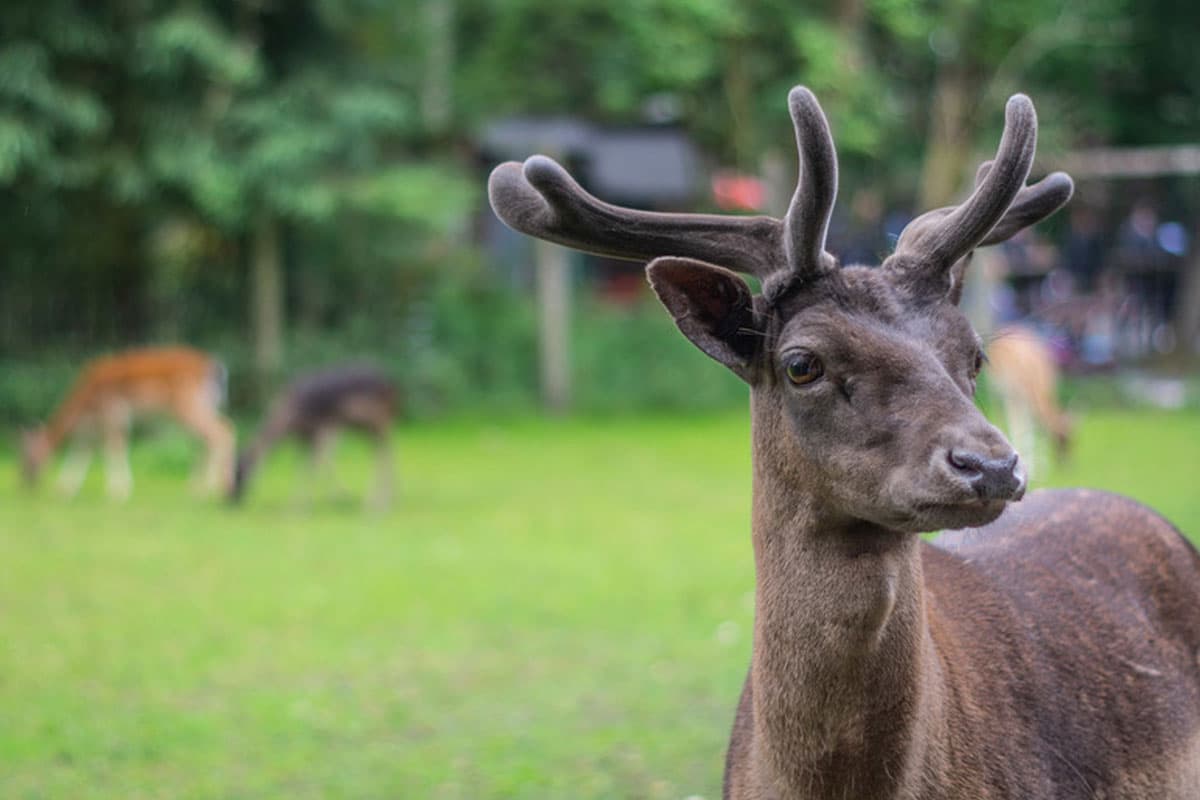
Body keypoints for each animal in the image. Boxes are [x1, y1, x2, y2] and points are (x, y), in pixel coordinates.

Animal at [21, 345, 234, 501]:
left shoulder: (113, 411)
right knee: (206, 439)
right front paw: (65, 490)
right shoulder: (92, 427)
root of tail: (215, 368)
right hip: (205, 405)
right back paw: (201, 488)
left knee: (220, 432)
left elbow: (114, 448)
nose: (26, 484)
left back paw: (211, 489)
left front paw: (118, 492)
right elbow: (81, 451)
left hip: (188, 404)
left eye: (29, 459)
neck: (86, 403)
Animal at [231, 367, 400, 510]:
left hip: (375, 419)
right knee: (382, 450)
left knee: (384, 451)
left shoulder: (320, 429)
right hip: (366, 426)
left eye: (239, 472)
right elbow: (305, 465)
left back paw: (378, 502)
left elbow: (315, 465)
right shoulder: (306, 437)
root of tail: (391, 387)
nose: (232, 498)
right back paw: (388, 497)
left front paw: (302, 506)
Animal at [984, 326, 1070, 474]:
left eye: (1073, 441)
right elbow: (1020, 427)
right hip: (996, 390)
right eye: (1059, 439)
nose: (1066, 466)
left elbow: (1032, 428)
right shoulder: (1015, 394)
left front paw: (1041, 467)